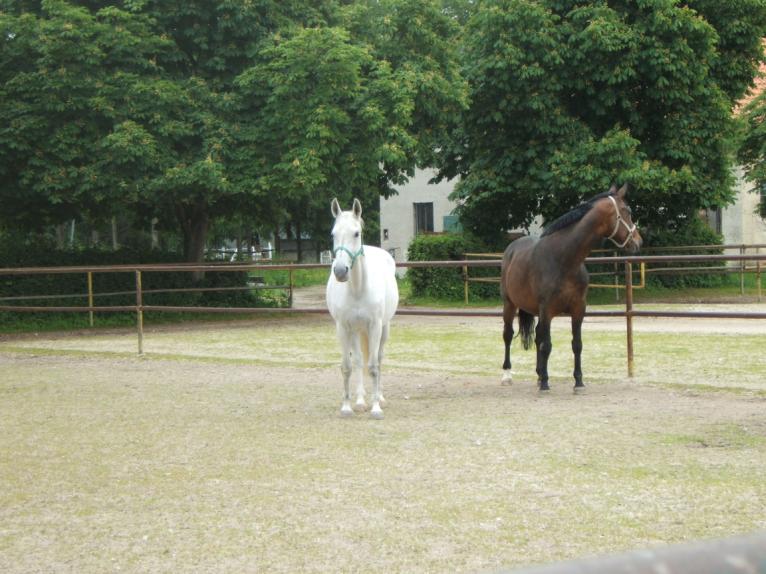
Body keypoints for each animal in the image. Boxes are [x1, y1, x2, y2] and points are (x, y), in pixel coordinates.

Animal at [328, 198, 402, 418]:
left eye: (356, 233)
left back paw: (380, 397)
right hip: (356, 330)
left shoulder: (375, 326)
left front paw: (376, 408)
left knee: (378, 358)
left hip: (384, 328)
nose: (340, 271)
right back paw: (360, 401)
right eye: (333, 234)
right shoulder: (343, 328)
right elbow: (347, 366)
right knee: (359, 361)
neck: (357, 289)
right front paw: (346, 407)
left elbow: (374, 366)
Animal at [500, 184, 644, 392]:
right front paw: (546, 384)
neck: (564, 260)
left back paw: (539, 374)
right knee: (508, 335)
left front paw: (578, 382)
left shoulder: (578, 309)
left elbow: (576, 344)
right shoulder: (547, 309)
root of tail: (512, 247)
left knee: (537, 338)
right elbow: (547, 345)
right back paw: (507, 375)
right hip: (509, 304)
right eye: (628, 211)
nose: (638, 242)